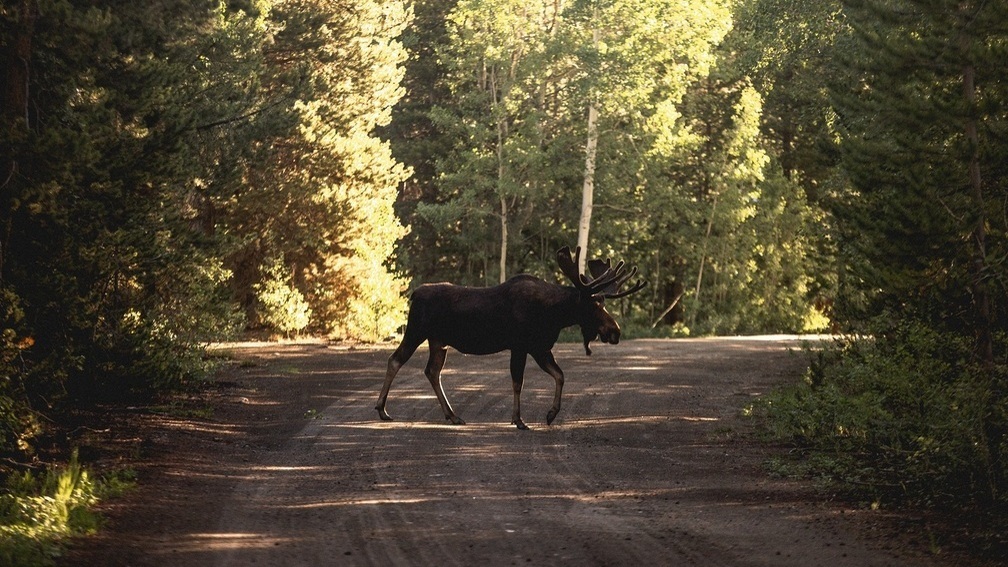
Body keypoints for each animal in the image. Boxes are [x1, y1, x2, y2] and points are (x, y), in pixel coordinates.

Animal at [376, 246, 645, 427]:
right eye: (593, 306)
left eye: (603, 303)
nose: (615, 331)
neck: (554, 315)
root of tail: (414, 294)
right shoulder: (521, 345)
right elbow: (518, 382)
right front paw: (519, 419)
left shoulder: (540, 347)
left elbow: (560, 375)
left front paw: (551, 414)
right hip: (416, 331)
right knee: (395, 360)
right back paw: (382, 409)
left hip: (438, 342)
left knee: (432, 371)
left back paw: (452, 415)